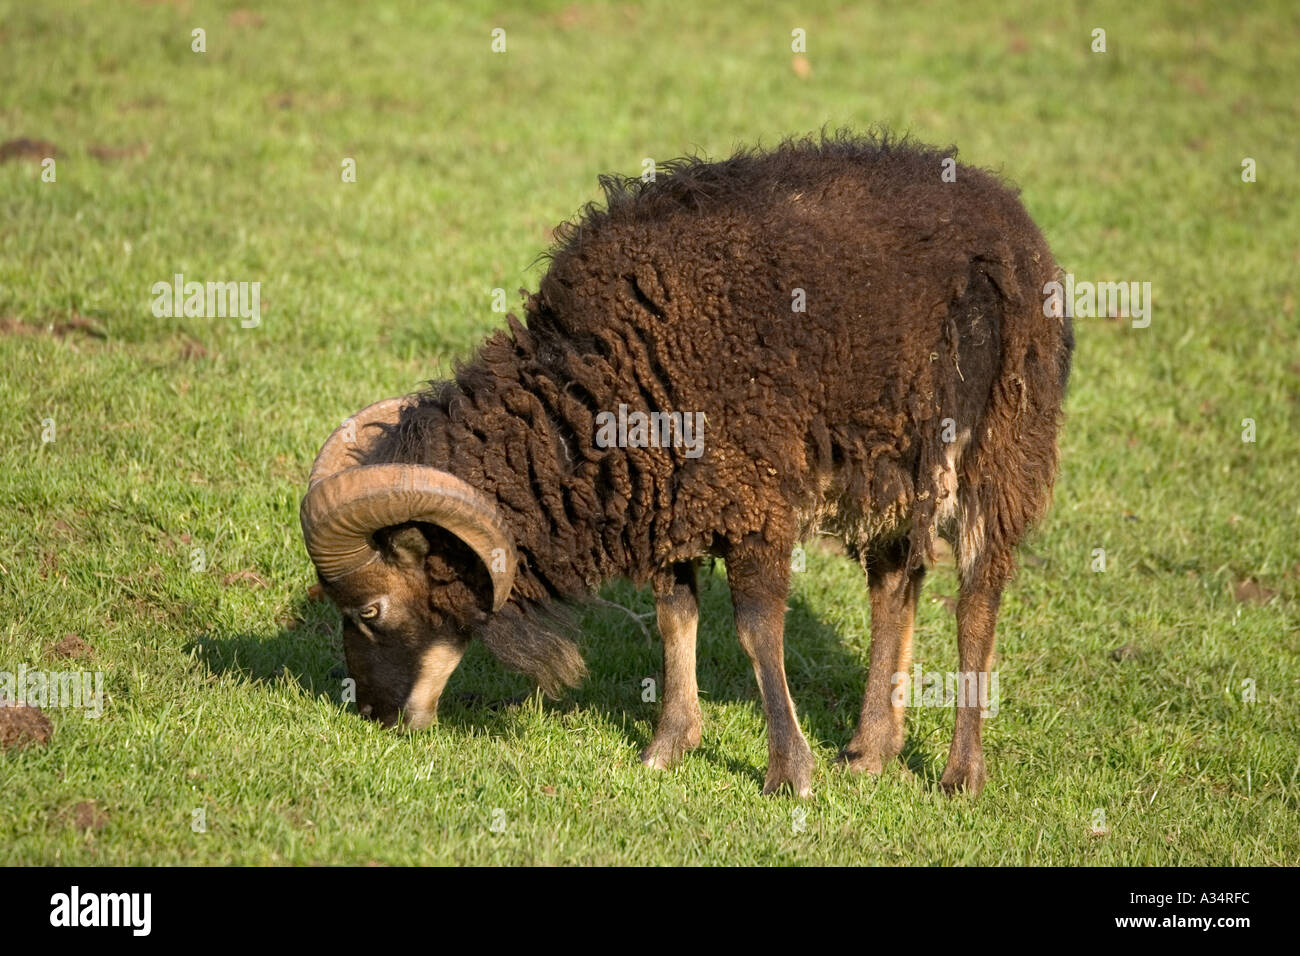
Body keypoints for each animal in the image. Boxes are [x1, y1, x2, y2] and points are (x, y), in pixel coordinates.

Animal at [299, 128, 1071, 801]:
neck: (591, 397)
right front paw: (668, 747)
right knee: (894, 584)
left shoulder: (754, 495)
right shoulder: (668, 498)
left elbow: (757, 631)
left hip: (1003, 447)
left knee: (977, 597)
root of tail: (1005, 208)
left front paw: (788, 773)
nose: (371, 716)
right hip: (889, 465)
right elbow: (676, 617)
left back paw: (960, 775)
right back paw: (870, 751)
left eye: (370, 610)